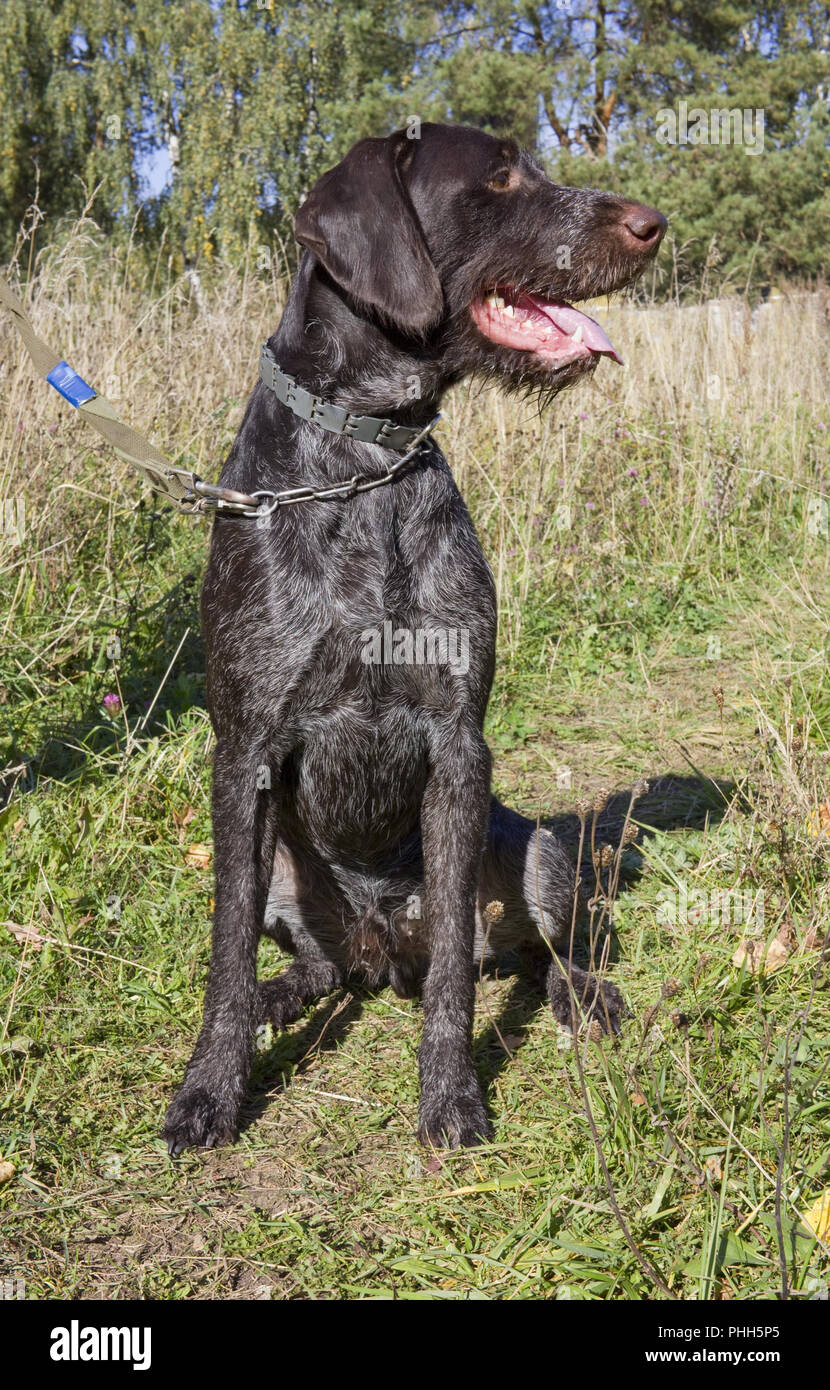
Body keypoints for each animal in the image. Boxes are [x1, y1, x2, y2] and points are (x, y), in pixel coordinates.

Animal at [161, 122, 667, 1150]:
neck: (365, 461)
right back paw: (281, 995)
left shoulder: (459, 744)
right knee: (310, 964)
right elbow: (224, 954)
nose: (653, 223)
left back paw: (583, 995)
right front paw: (210, 1089)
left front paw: (451, 1095)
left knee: (535, 952)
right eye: (501, 176)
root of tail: (376, 942)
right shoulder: (245, 756)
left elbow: (454, 991)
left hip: (539, 856)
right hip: (284, 877)